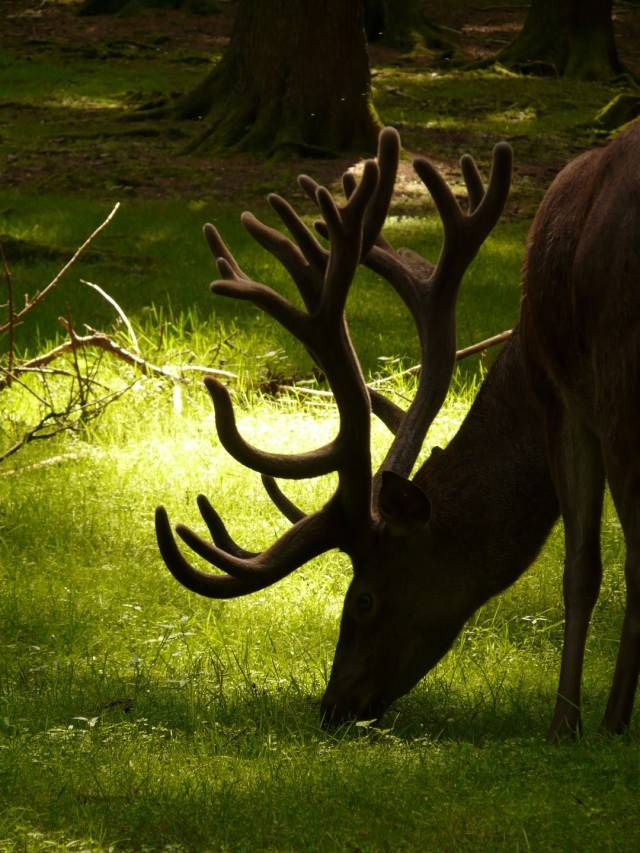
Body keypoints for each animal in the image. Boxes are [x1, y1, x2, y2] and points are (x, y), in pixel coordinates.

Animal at [156, 121, 640, 740]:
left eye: (362, 598)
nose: (333, 706)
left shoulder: (566, 398)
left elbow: (582, 567)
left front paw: (573, 724)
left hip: (620, 374)